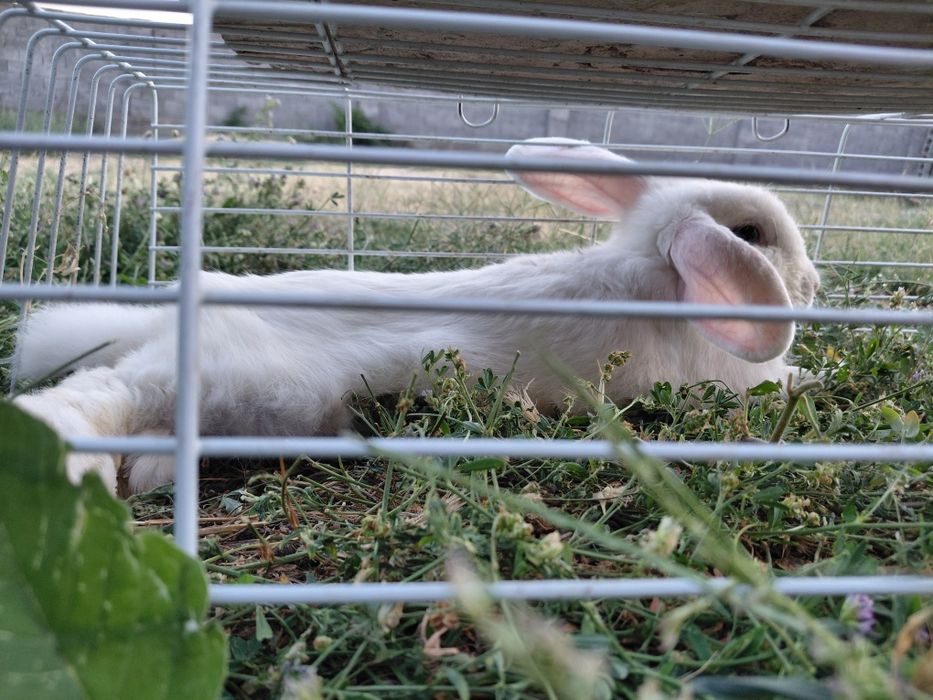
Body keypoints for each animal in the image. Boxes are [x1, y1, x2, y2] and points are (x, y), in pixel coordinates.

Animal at [12, 137, 820, 495]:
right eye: (752, 235)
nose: (811, 285)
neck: (658, 280)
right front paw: (806, 379)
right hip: (240, 388)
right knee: (94, 400)